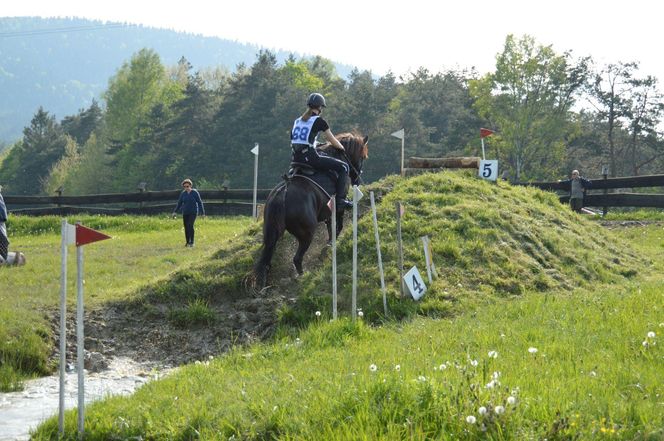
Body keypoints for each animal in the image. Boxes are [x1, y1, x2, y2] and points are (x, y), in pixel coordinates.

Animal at [254, 132, 368, 288]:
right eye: (362, 156)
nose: (357, 178)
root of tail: (283, 193)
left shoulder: (328, 211)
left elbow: (331, 228)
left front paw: (329, 245)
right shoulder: (337, 207)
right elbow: (338, 226)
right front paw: (329, 246)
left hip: (271, 232)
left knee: (266, 260)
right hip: (306, 233)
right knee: (297, 258)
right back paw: (302, 276)